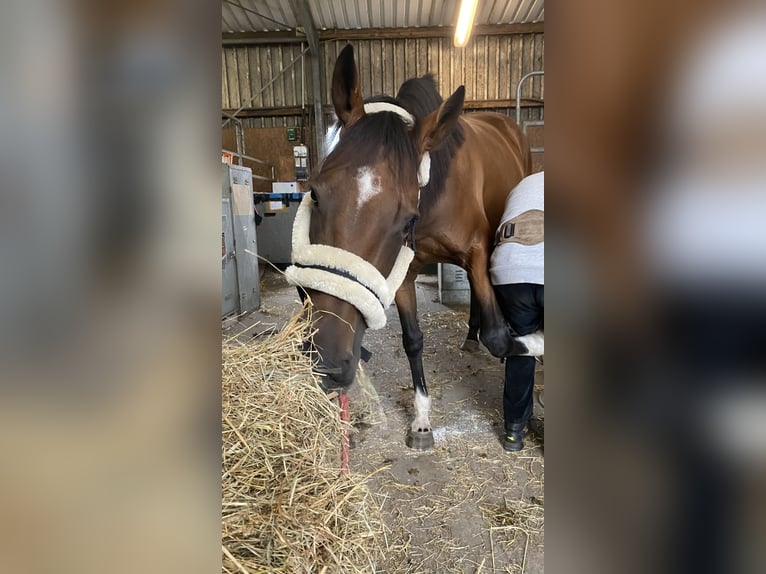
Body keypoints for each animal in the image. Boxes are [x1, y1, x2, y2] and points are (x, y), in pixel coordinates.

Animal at [288, 45, 536, 450]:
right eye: (315, 193)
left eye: (407, 219)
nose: (328, 363)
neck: (435, 196)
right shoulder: (402, 273)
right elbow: (413, 341)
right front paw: (421, 420)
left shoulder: (479, 252)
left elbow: (499, 337)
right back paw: (469, 337)